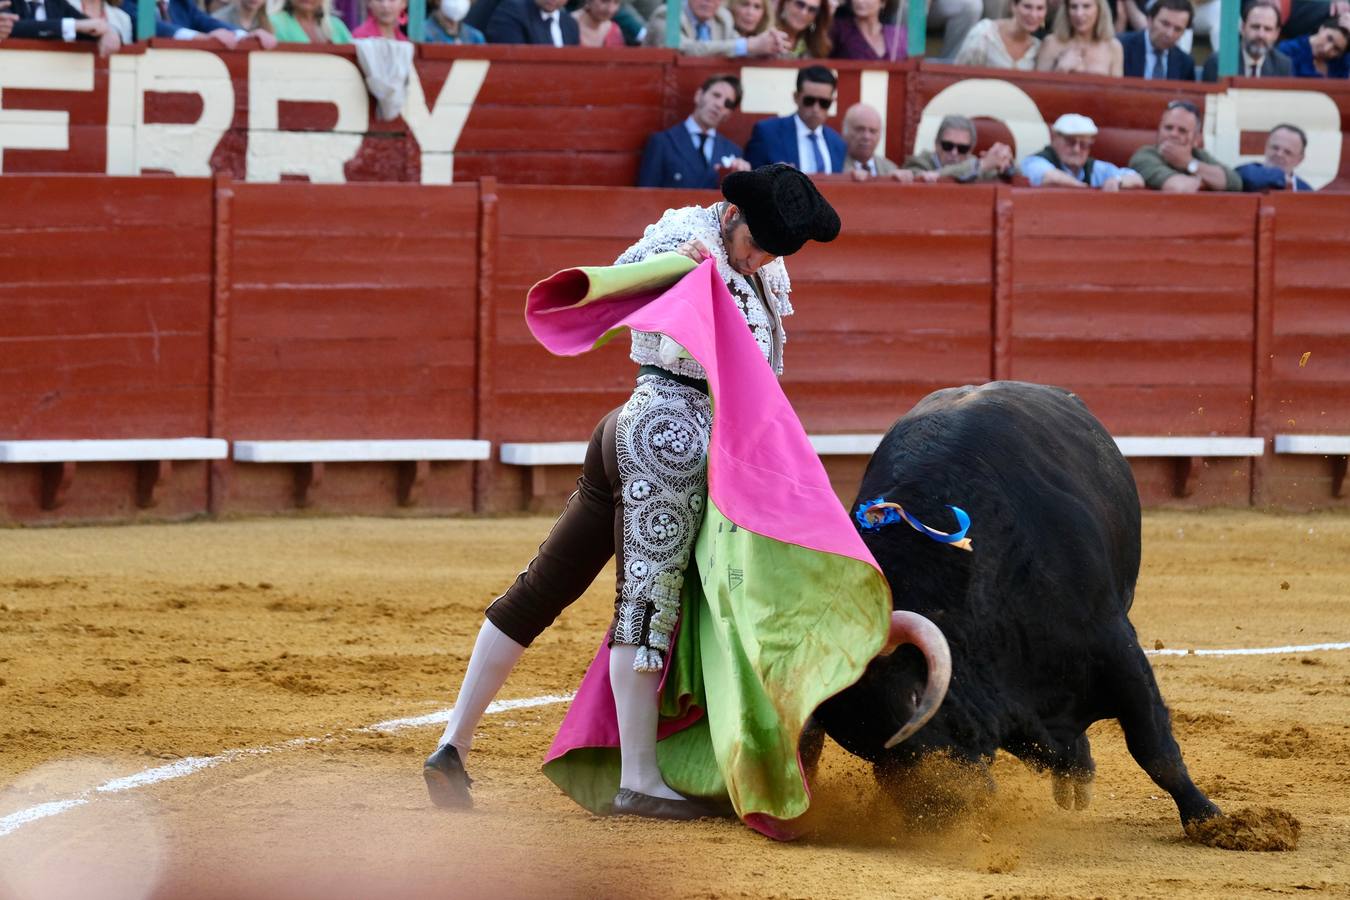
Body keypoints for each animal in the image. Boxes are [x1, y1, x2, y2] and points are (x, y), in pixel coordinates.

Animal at [810, 380, 1225, 831]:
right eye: (859, 743)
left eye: (915, 699)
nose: (940, 809)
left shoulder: (1115, 644)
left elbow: (1153, 747)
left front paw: (1208, 819)